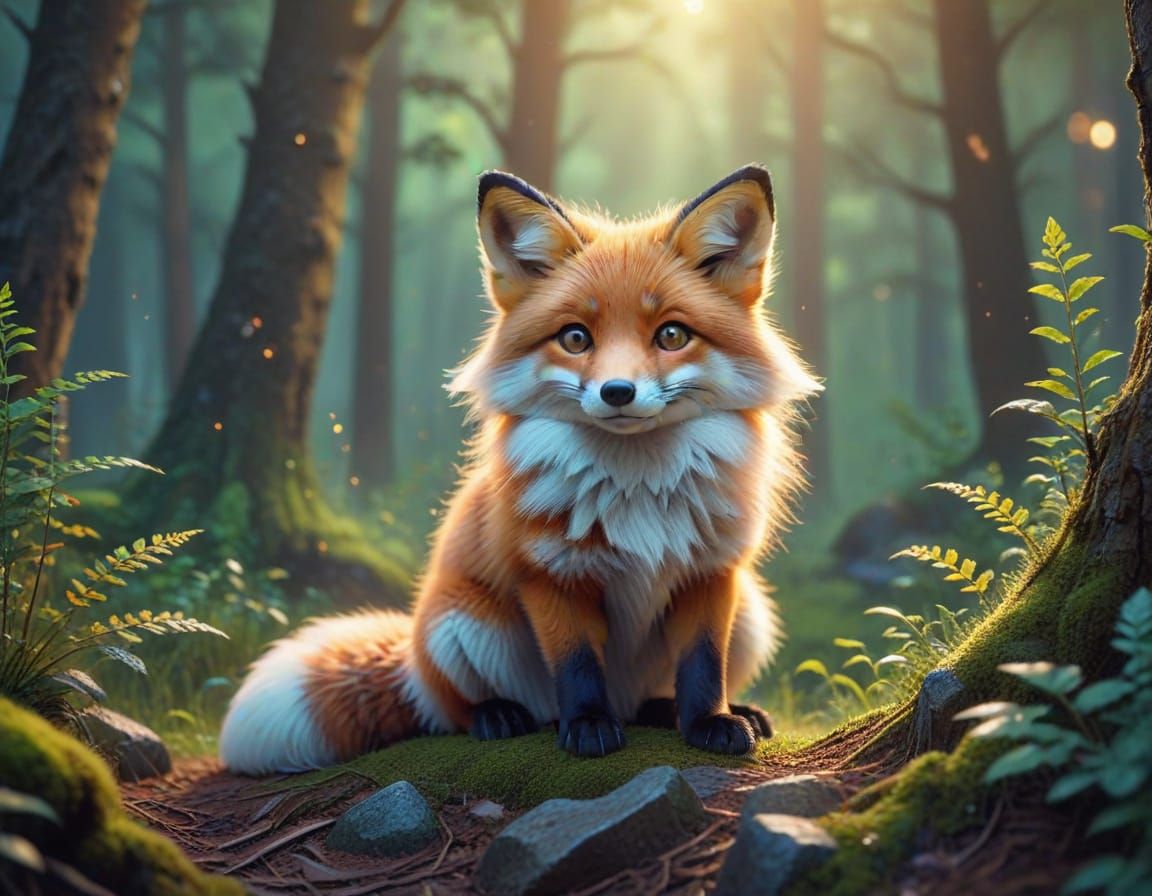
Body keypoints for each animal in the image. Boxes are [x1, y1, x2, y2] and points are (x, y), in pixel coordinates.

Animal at [219, 165, 821, 774]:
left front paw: (709, 723)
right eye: (575, 338)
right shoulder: (549, 572)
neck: (637, 490)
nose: (617, 392)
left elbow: (702, 663)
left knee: (647, 699)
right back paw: (499, 716)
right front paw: (588, 727)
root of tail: (412, 655)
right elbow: (577, 664)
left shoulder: (712, 572)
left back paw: (687, 711)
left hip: (753, 612)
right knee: (453, 709)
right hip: (460, 626)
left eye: (671, 335)